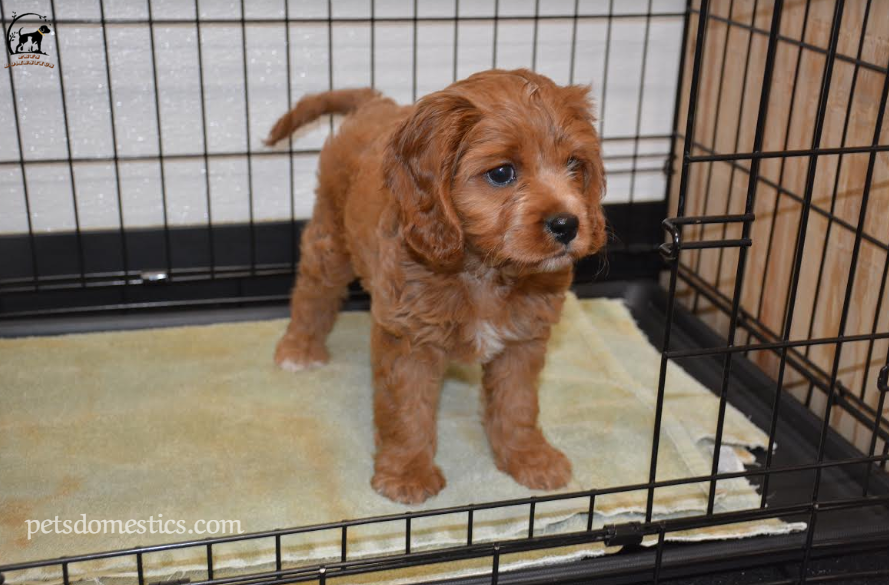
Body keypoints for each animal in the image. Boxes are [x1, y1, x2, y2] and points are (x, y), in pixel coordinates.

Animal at [264, 70, 608, 504]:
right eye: (502, 173)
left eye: (574, 164)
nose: (567, 225)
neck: (483, 268)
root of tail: (376, 103)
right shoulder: (409, 338)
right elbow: (407, 410)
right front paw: (407, 474)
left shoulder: (523, 340)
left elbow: (518, 404)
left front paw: (530, 458)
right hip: (331, 236)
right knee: (313, 292)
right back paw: (299, 349)